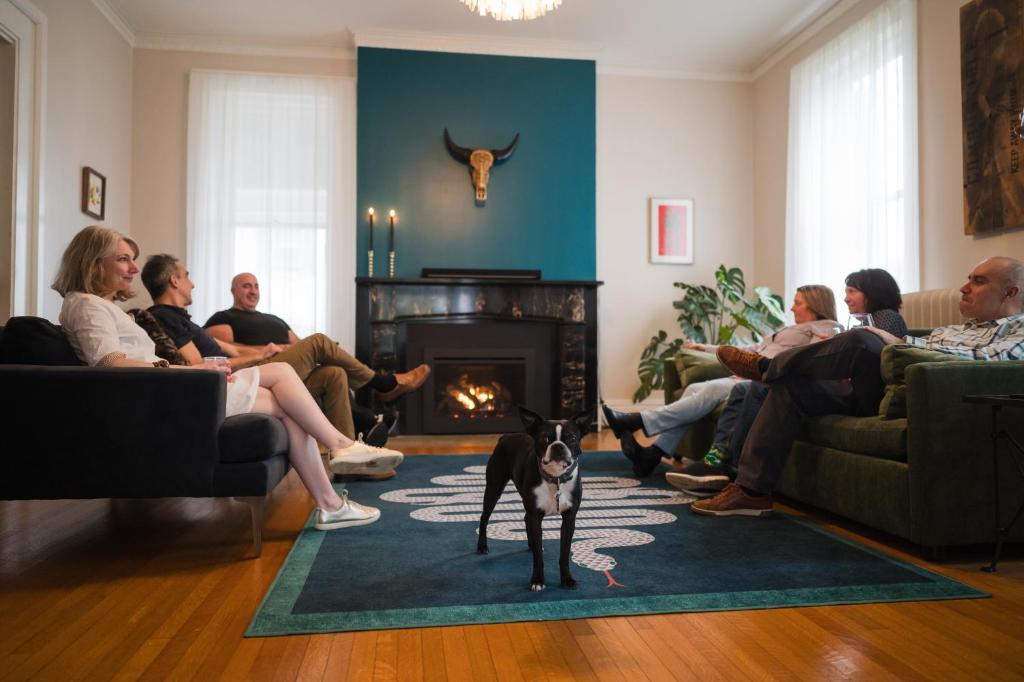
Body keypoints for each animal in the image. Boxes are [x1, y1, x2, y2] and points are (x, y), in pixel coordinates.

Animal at [475, 403, 589, 589]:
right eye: (545, 438)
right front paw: (537, 580)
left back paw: (531, 545)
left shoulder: (569, 519)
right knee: (484, 517)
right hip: (494, 488)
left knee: (525, 518)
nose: (558, 446)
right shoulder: (536, 516)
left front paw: (567, 579)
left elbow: (564, 554)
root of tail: (505, 437)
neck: (555, 479)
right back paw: (482, 546)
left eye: (572, 438)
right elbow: (538, 559)